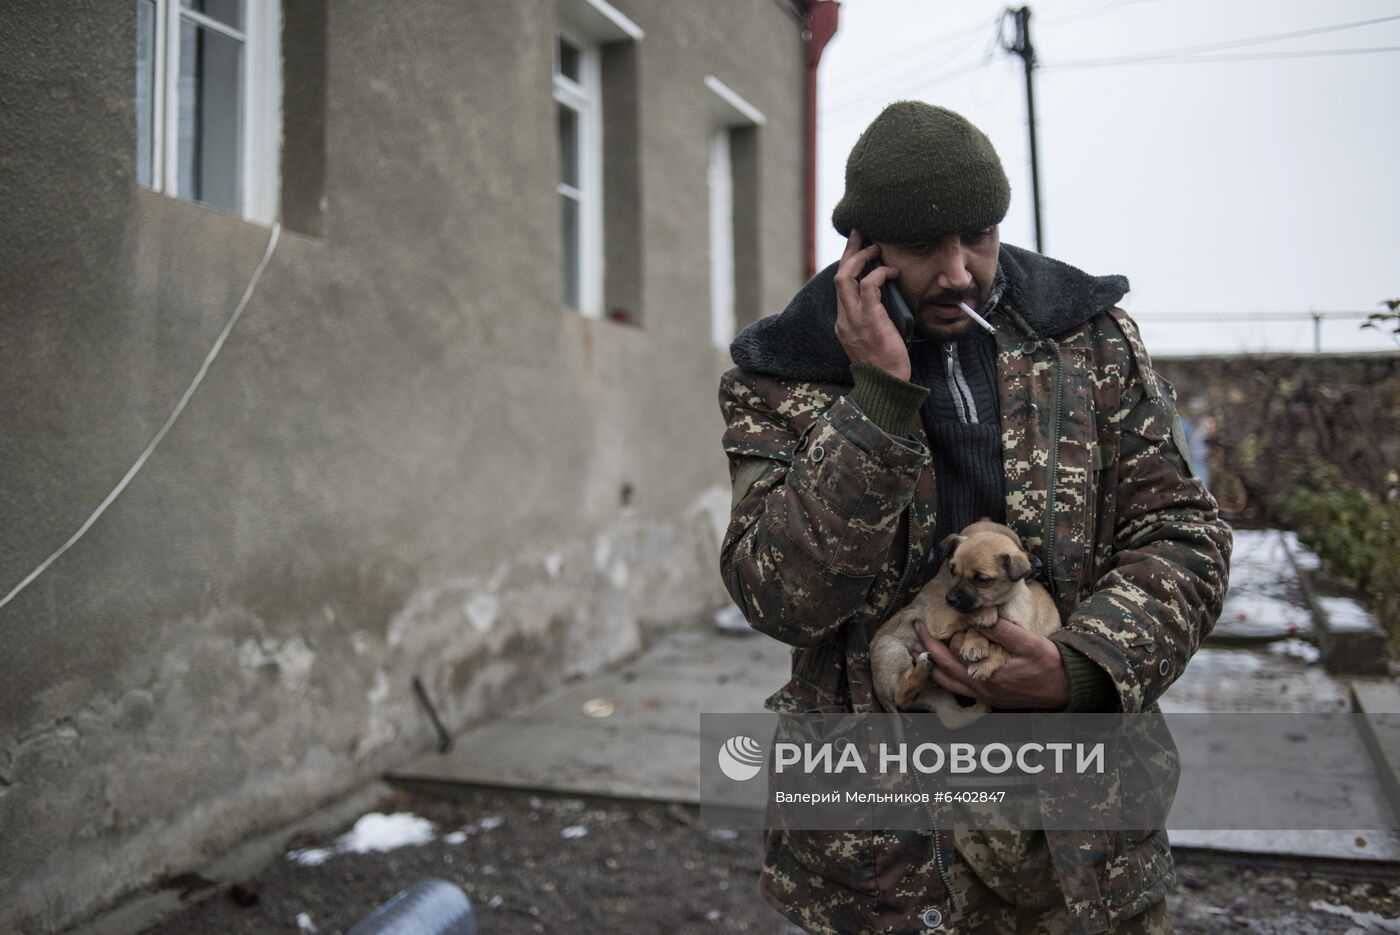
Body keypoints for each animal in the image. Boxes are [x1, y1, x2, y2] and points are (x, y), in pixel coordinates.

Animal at [868, 517, 1052, 722]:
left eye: (1020, 545)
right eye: (954, 572)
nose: (1039, 565)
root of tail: (882, 696)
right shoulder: (941, 620)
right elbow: (968, 613)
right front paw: (985, 614)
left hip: (938, 696)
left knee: (954, 719)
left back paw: (983, 702)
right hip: (891, 648)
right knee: (900, 695)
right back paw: (922, 667)